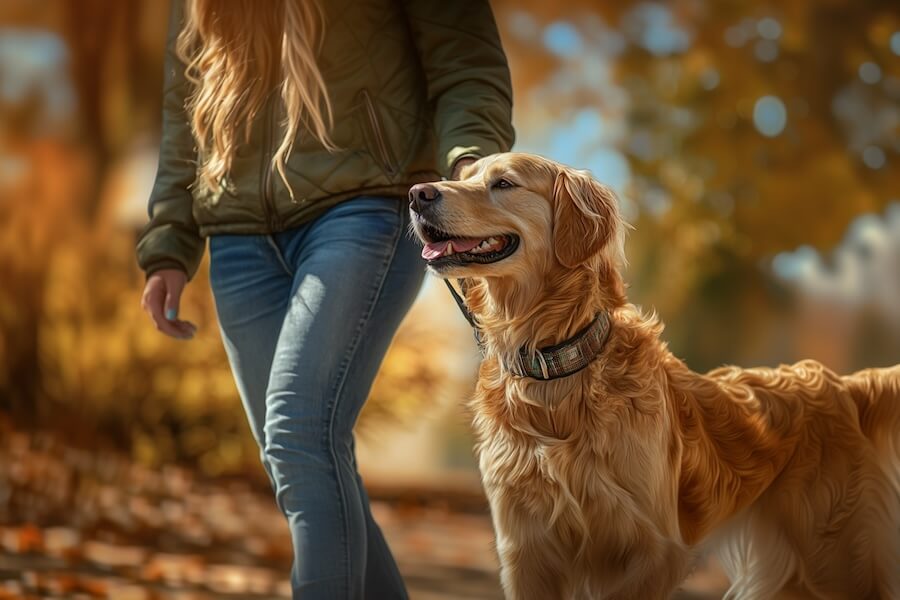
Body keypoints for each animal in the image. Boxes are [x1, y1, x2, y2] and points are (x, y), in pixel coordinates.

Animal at [410, 155, 900, 600]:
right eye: (466, 176)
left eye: (504, 183)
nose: (417, 194)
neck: (557, 367)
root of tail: (842, 384)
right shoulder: (526, 552)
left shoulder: (653, 550)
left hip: (839, 562)